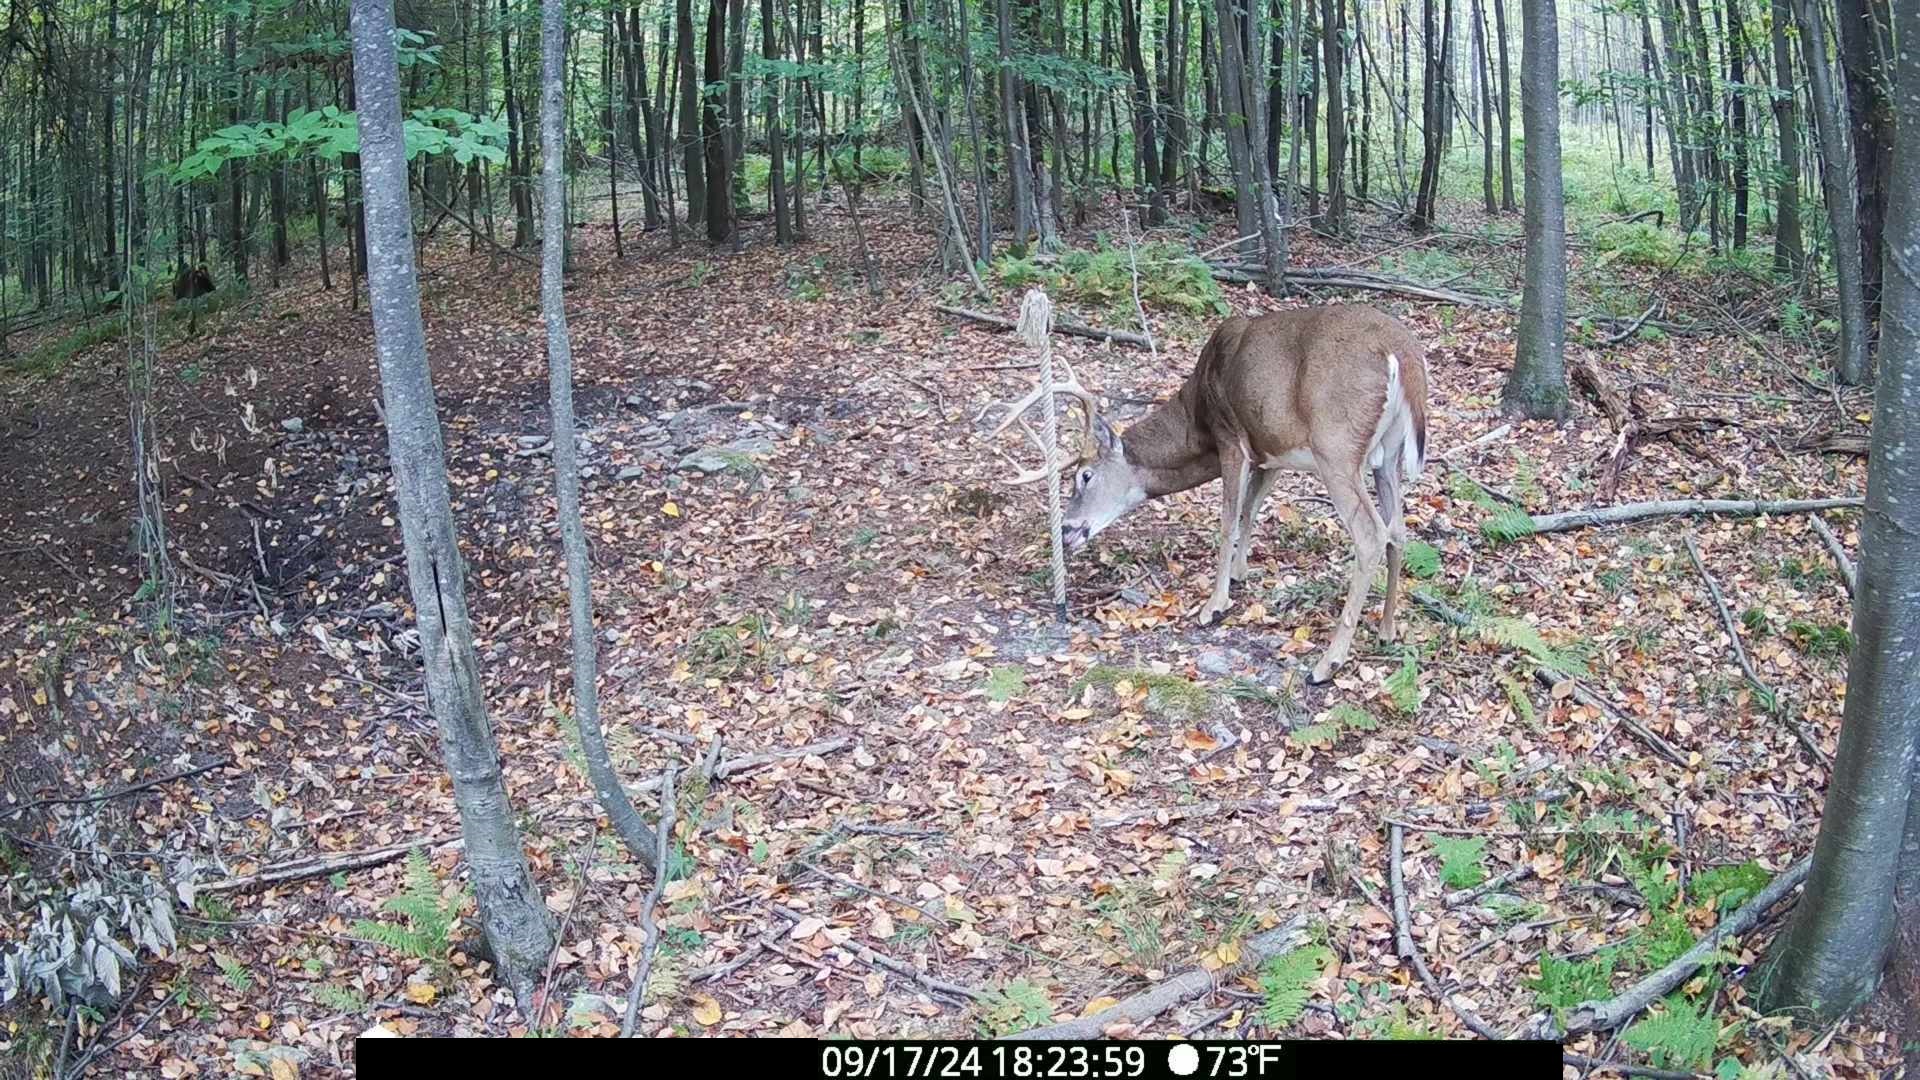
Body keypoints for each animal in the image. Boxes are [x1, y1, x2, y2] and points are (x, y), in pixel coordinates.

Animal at [991, 303, 1429, 684]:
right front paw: (1239, 574)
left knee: (1371, 534)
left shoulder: (1230, 436)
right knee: (1398, 530)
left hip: (1336, 446)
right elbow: (1250, 509)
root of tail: (1402, 356)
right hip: (1386, 456)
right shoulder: (1271, 452)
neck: (1197, 419)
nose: (1066, 530)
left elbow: (1228, 519)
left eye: (1084, 476)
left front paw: (1213, 606)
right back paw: (1387, 629)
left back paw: (1327, 663)